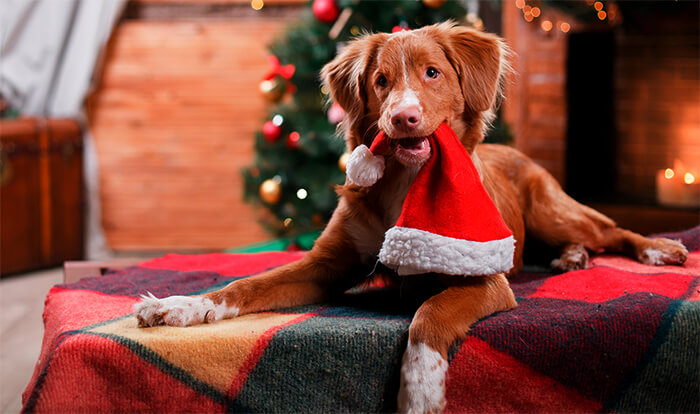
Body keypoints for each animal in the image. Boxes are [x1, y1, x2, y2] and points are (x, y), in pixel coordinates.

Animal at [137, 23, 688, 414]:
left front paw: (421, 390)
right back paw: (571, 259)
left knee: (609, 230)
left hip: (552, 210)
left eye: (432, 73)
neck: (405, 184)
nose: (402, 118)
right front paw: (181, 307)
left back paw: (655, 249)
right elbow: (245, 285)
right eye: (380, 81)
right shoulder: (325, 265)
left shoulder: (484, 279)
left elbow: (428, 317)